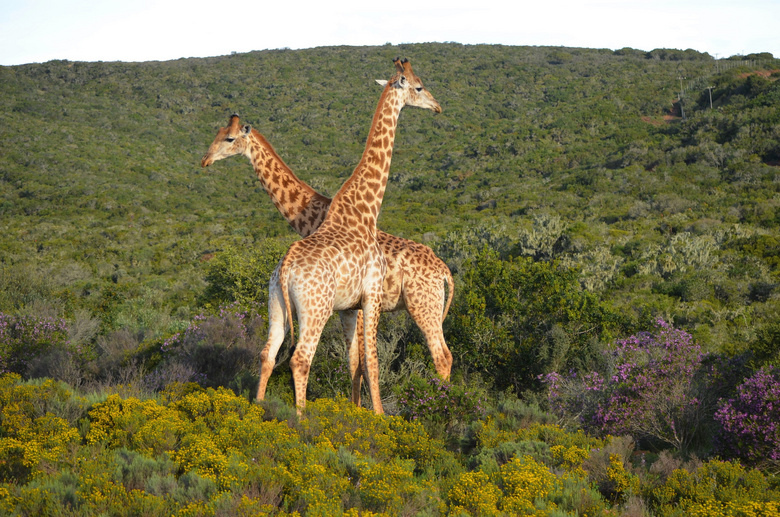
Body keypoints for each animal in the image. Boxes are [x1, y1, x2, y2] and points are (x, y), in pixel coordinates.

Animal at [203, 112, 458, 404]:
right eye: (217, 133)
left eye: (229, 138)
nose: (205, 159)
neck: (311, 216)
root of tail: (444, 270)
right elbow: (355, 361)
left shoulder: (356, 301)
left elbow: (360, 361)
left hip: (423, 305)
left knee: (442, 356)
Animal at [253, 56, 442, 414]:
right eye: (419, 86)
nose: (438, 106)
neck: (364, 210)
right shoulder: (370, 296)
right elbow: (372, 361)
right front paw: (378, 416)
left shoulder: (351, 305)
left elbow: (356, 361)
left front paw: (360, 409)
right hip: (317, 308)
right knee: (300, 358)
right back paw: (302, 417)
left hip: (276, 307)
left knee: (268, 353)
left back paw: (256, 408)